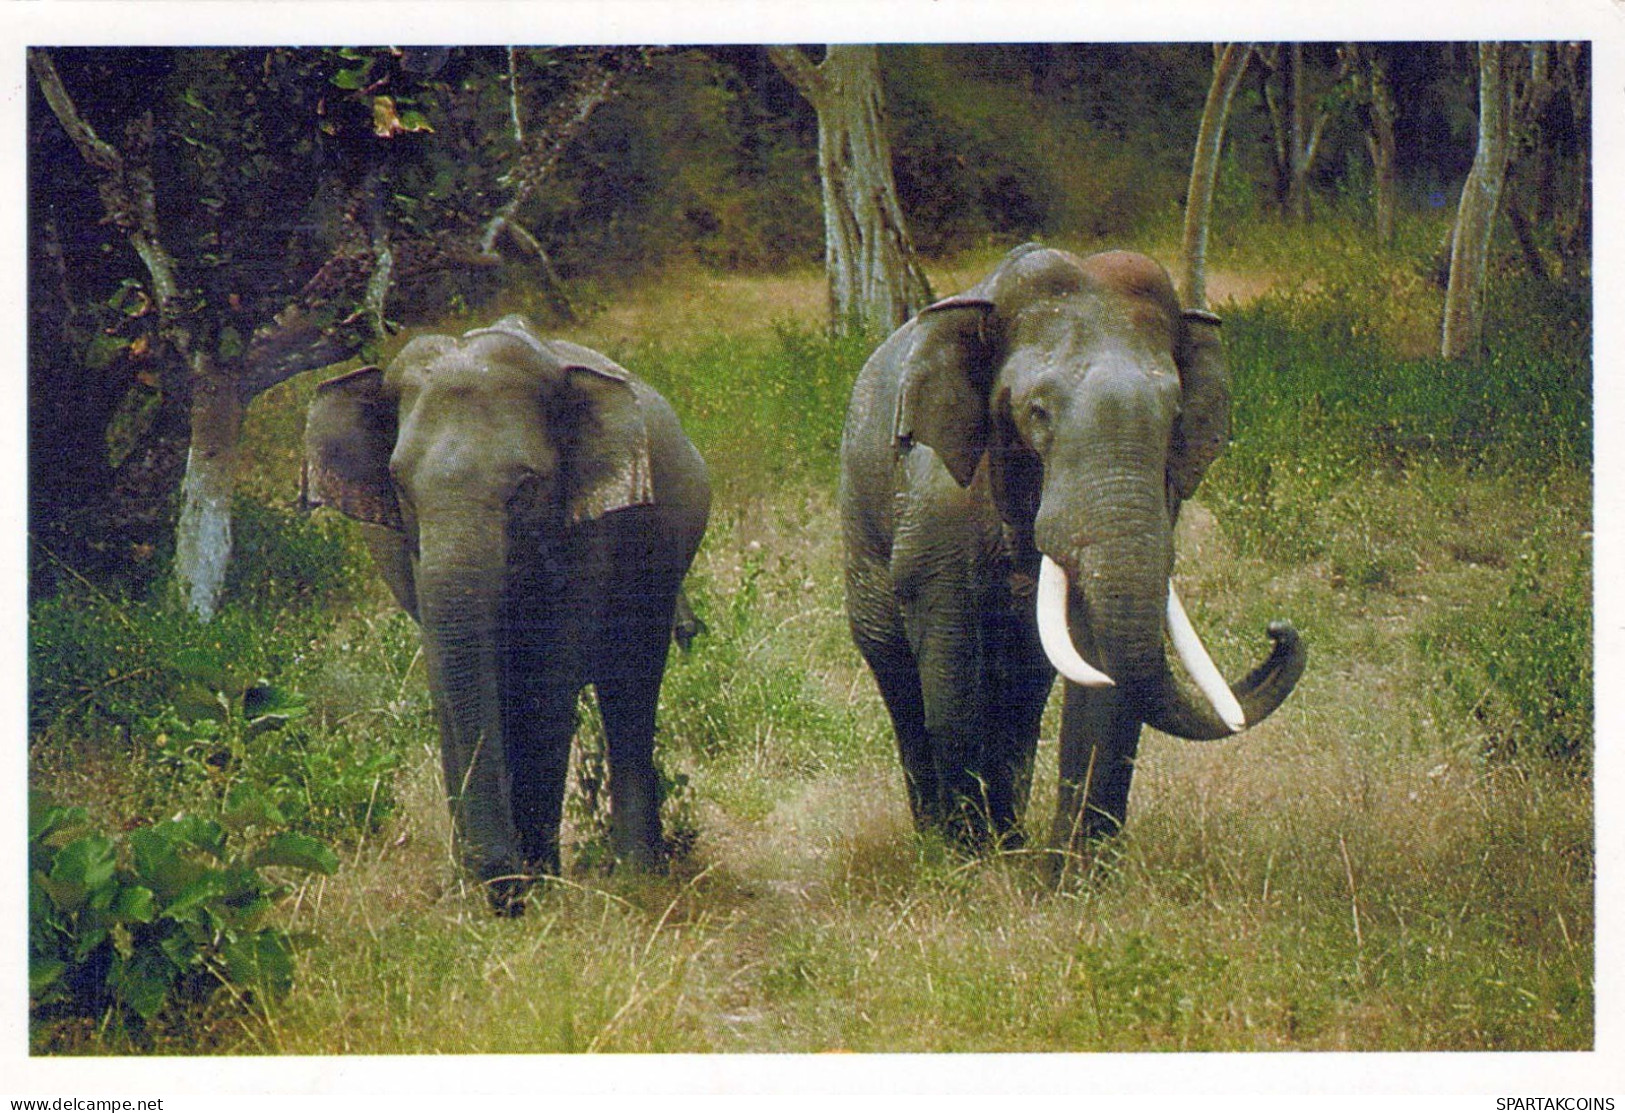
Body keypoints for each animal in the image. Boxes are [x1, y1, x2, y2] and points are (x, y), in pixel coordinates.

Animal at [305, 315, 711, 909]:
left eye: (525, 487)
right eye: (400, 487)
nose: (502, 887)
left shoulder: (588, 527)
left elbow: (548, 684)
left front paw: (537, 884)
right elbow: (449, 684)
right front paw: (471, 889)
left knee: (630, 686)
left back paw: (637, 873)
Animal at [838, 243, 1306, 864]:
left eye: (1176, 417)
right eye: (1037, 412)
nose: (1279, 631)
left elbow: (1099, 662)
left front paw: (1068, 875)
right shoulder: (934, 502)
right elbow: (952, 658)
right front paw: (969, 867)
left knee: (1023, 687)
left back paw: (1010, 840)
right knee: (899, 677)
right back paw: (944, 842)